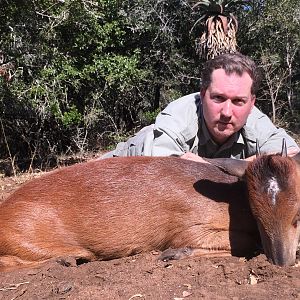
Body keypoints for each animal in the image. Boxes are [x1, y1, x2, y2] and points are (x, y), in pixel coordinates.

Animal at [0, 152, 298, 272]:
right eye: (257, 216)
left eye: (297, 216)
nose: (283, 263)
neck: (231, 198)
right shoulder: (187, 228)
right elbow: (246, 244)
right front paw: (173, 254)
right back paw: (66, 260)